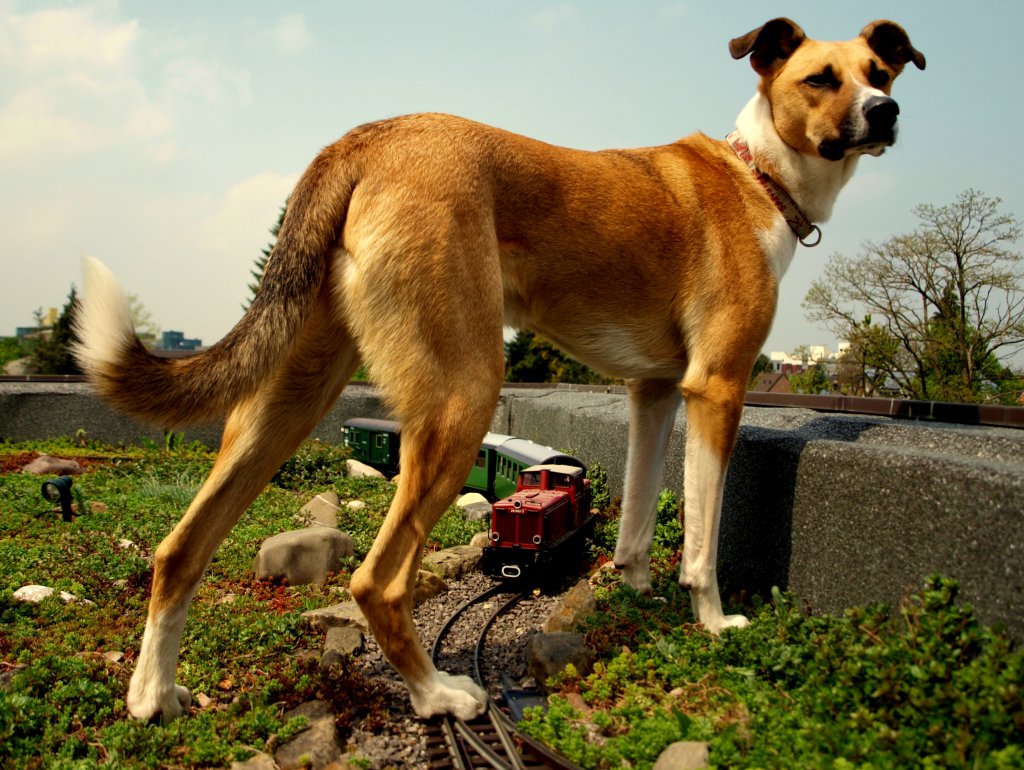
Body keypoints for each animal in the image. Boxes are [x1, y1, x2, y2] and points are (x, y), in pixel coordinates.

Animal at [72, 19, 921, 729]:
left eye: (880, 72)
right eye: (821, 78)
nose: (886, 113)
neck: (758, 175)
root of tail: (364, 140)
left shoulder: (652, 392)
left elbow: (639, 520)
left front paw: (634, 590)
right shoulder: (717, 387)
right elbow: (704, 541)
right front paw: (712, 623)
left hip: (285, 403)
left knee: (180, 549)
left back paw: (153, 697)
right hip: (461, 398)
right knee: (377, 581)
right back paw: (438, 696)